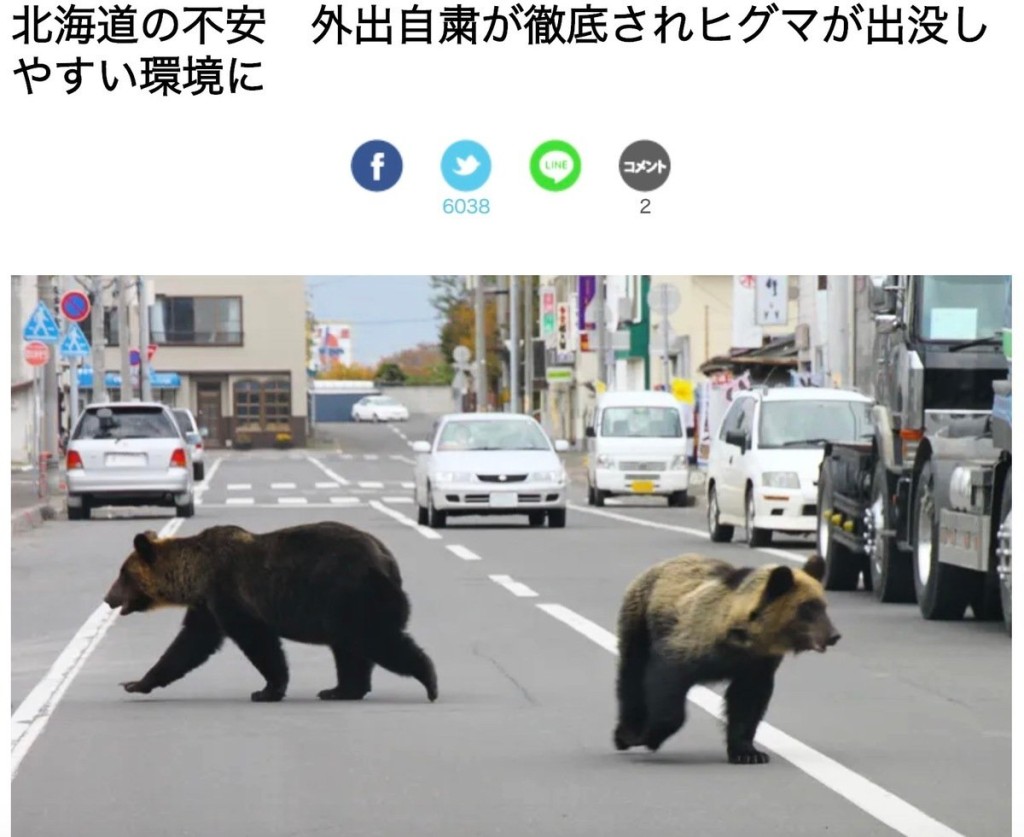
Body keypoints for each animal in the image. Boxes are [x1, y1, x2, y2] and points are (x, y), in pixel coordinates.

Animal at [103, 521, 438, 703]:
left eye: (123, 574)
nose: (108, 598)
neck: (195, 575)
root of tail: (387, 560)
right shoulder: (207, 606)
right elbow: (189, 644)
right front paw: (136, 682)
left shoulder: (229, 593)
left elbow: (258, 642)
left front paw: (267, 689)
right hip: (343, 607)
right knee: (349, 649)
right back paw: (340, 689)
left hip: (351, 594)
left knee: (376, 639)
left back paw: (429, 680)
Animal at [613, 552, 839, 764]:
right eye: (807, 607)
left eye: (824, 605)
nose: (834, 635)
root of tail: (662, 564)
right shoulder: (689, 644)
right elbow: (666, 683)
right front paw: (648, 736)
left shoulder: (757, 664)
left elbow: (747, 702)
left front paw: (749, 753)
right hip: (640, 619)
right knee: (632, 673)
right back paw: (625, 733)